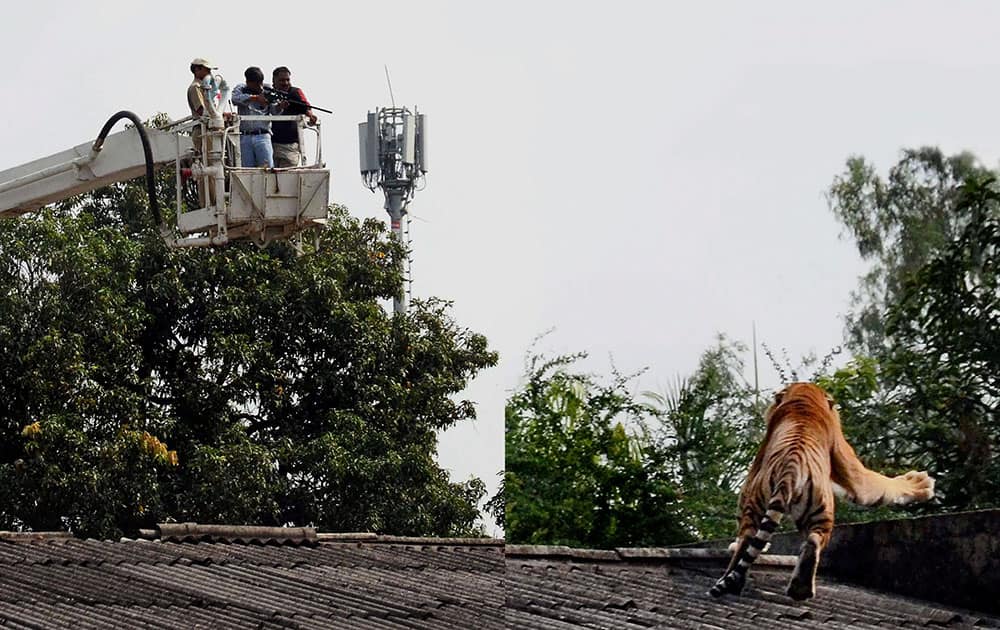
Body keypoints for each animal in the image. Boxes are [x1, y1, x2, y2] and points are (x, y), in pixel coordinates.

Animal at [708, 382, 932, 604]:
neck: (804, 397)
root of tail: (790, 471)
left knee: (749, 538)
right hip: (821, 510)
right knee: (811, 541)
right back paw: (799, 589)